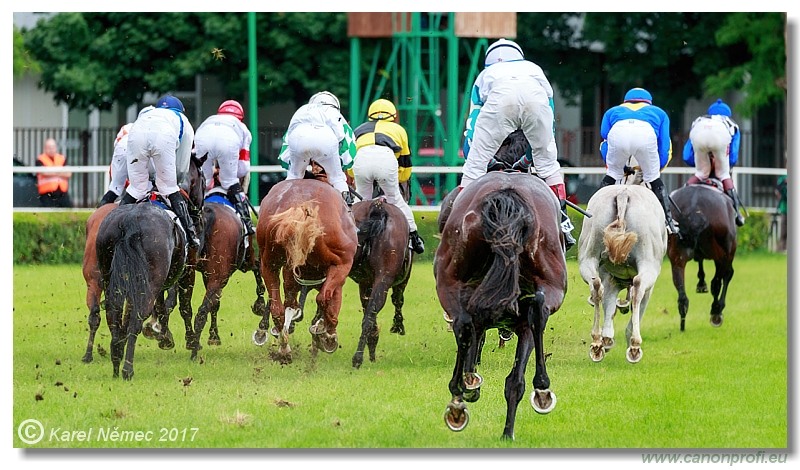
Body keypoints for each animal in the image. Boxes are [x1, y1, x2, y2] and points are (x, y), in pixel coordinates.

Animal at [255, 177, 358, 364]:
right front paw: (327, 336)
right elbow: (331, 302)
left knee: (277, 308)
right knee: (323, 298)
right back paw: (324, 333)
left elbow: (290, 302)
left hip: (268, 264)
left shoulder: (292, 271)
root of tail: (298, 206)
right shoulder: (339, 269)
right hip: (341, 263)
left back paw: (284, 349)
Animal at [348, 196, 412, 370]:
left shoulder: (365, 283)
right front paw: (398, 325)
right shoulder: (400, 280)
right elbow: (398, 299)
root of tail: (378, 206)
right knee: (372, 313)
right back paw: (358, 357)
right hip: (385, 278)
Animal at [434, 172, 564, 440]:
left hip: (448, 281)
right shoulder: (522, 325)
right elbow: (515, 379)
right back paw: (541, 389)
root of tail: (507, 193)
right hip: (552, 281)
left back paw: (458, 397)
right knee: (538, 309)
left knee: (464, 326)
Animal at [664, 180, 736, 330]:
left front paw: (701, 283)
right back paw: (716, 311)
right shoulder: (726, 254)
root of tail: (694, 211)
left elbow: (700, 263)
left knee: (681, 291)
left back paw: (683, 323)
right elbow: (726, 276)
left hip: (676, 255)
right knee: (718, 281)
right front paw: (717, 310)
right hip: (722, 253)